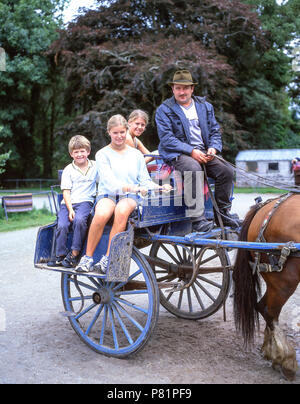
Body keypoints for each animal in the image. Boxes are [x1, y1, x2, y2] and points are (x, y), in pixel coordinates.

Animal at [233, 194, 300, 380]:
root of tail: (265, 207)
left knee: (263, 307)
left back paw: (272, 353)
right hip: (284, 281)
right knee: (269, 311)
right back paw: (287, 359)